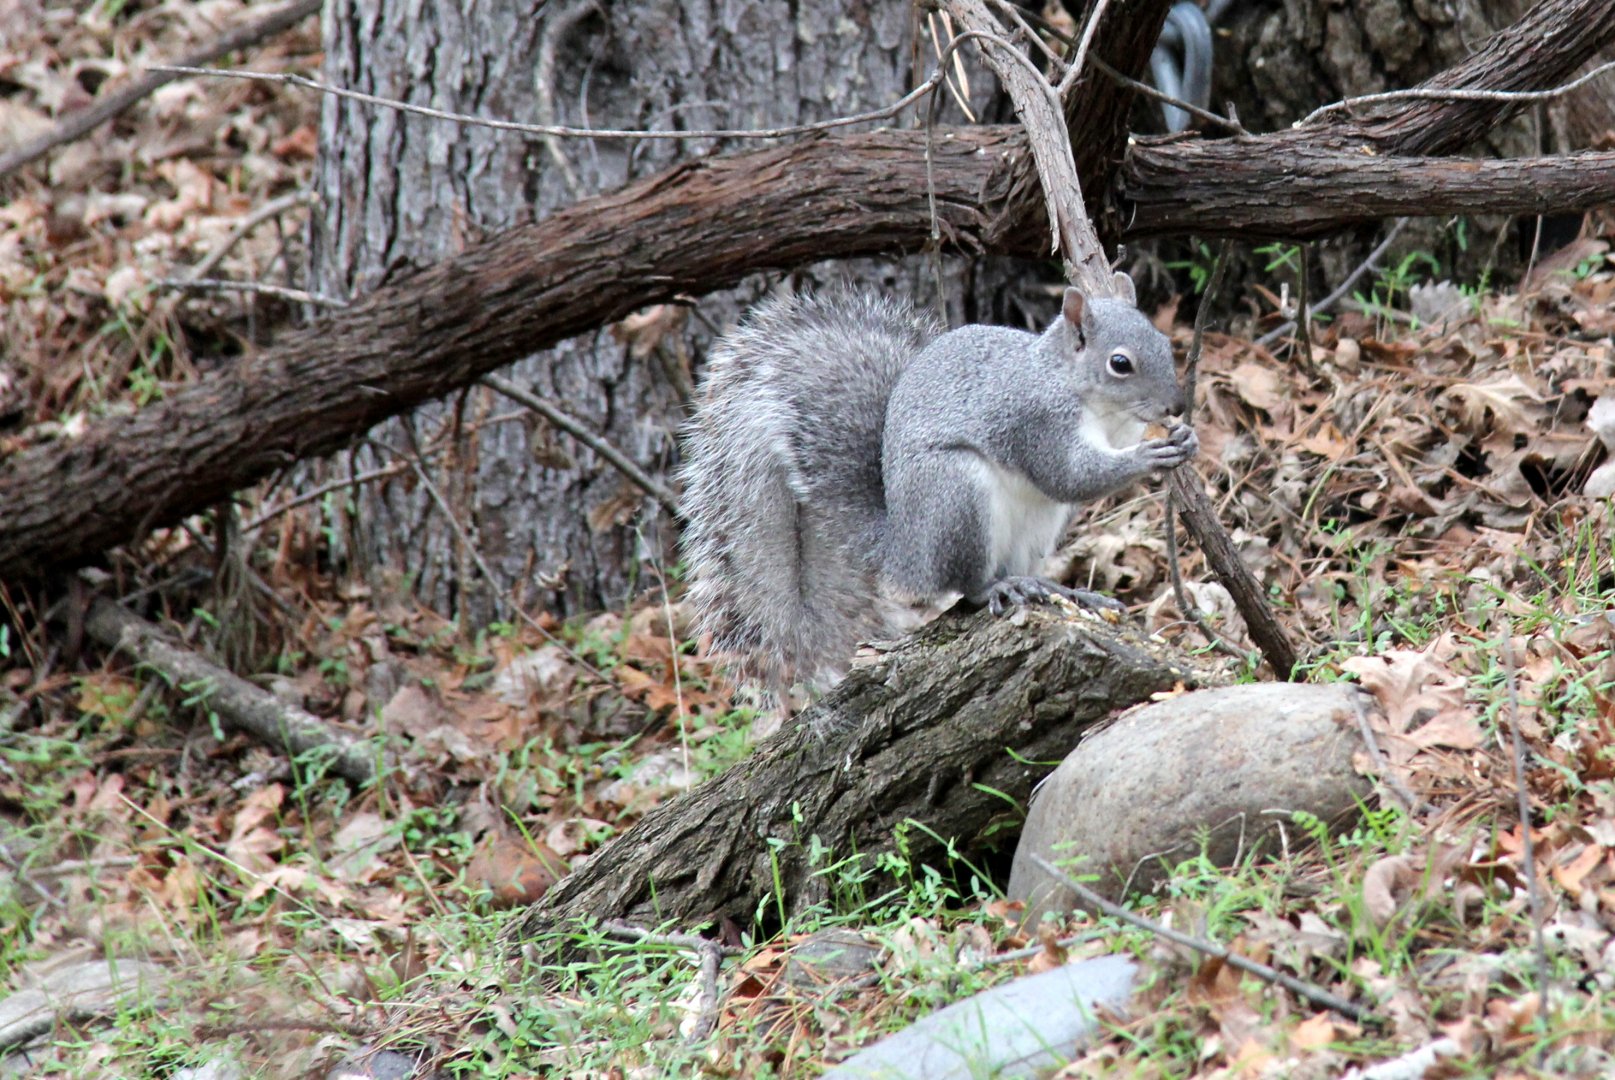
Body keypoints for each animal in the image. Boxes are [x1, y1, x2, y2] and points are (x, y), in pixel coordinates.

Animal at [678, 274, 1198, 695]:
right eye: (1120, 363)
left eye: (1163, 340)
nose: (1176, 406)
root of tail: (902, 552)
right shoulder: (1034, 420)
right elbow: (1069, 475)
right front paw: (1149, 456)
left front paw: (1184, 439)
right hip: (955, 497)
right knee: (965, 586)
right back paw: (997, 589)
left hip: (1037, 526)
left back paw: (1056, 589)